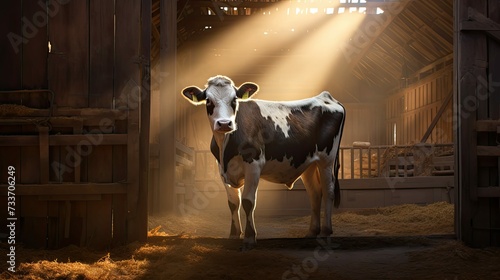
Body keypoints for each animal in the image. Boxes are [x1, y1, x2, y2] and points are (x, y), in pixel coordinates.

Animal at [182, 75, 346, 249]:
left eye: (234, 100)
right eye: (208, 101)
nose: (225, 123)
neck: (226, 147)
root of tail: (326, 97)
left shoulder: (253, 165)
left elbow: (248, 201)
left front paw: (249, 238)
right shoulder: (223, 169)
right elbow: (233, 203)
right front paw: (234, 235)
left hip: (327, 160)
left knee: (328, 191)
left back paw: (325, 232)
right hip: (309, 163)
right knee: (315, 193)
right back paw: (311, 233)